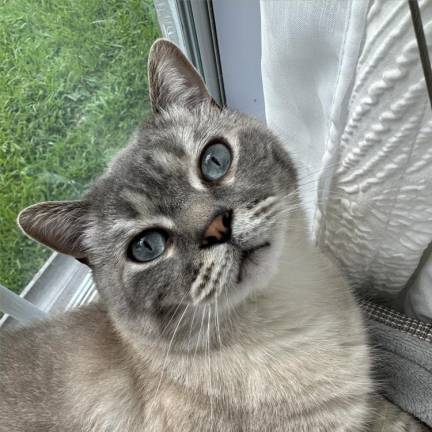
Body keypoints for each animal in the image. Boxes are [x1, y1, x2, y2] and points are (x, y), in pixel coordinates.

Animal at [0, 40, 426, 432]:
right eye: (147, 246)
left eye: (214, 161)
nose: (217, 226)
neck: (288, 312)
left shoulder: (372, 409)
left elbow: (402, 419)